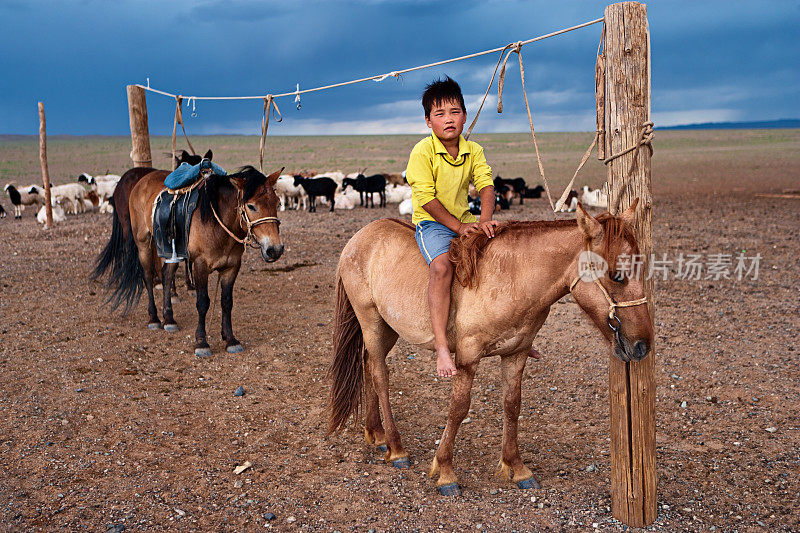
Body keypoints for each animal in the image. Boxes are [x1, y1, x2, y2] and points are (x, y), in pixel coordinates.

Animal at [103, 164, 284, 356]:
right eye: (251, 206)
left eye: (277, 203)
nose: (275, 249)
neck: (217, 224)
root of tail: (141, 181)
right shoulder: (200, 265)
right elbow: (203, 302)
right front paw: (201, 342)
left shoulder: (231, 267)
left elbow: (227, 302)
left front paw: (230, 339)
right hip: (143, 243)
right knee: (148, 276)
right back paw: (154, 318)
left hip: (172, 252)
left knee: (167, 276)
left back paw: (169, 319)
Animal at [328, 198, 652, 494]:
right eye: (617, 275)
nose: (642, 346)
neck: (512, 278)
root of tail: (361, 236)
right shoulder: (468, 357)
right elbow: (459, 408)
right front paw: (446, 471)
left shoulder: (516, 354)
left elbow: (512, 405)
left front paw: (517, 468)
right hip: (370, 321)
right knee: (380, 376)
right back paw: (396, 448)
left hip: (388, 329)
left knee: (369, 365)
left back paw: (377, 434)